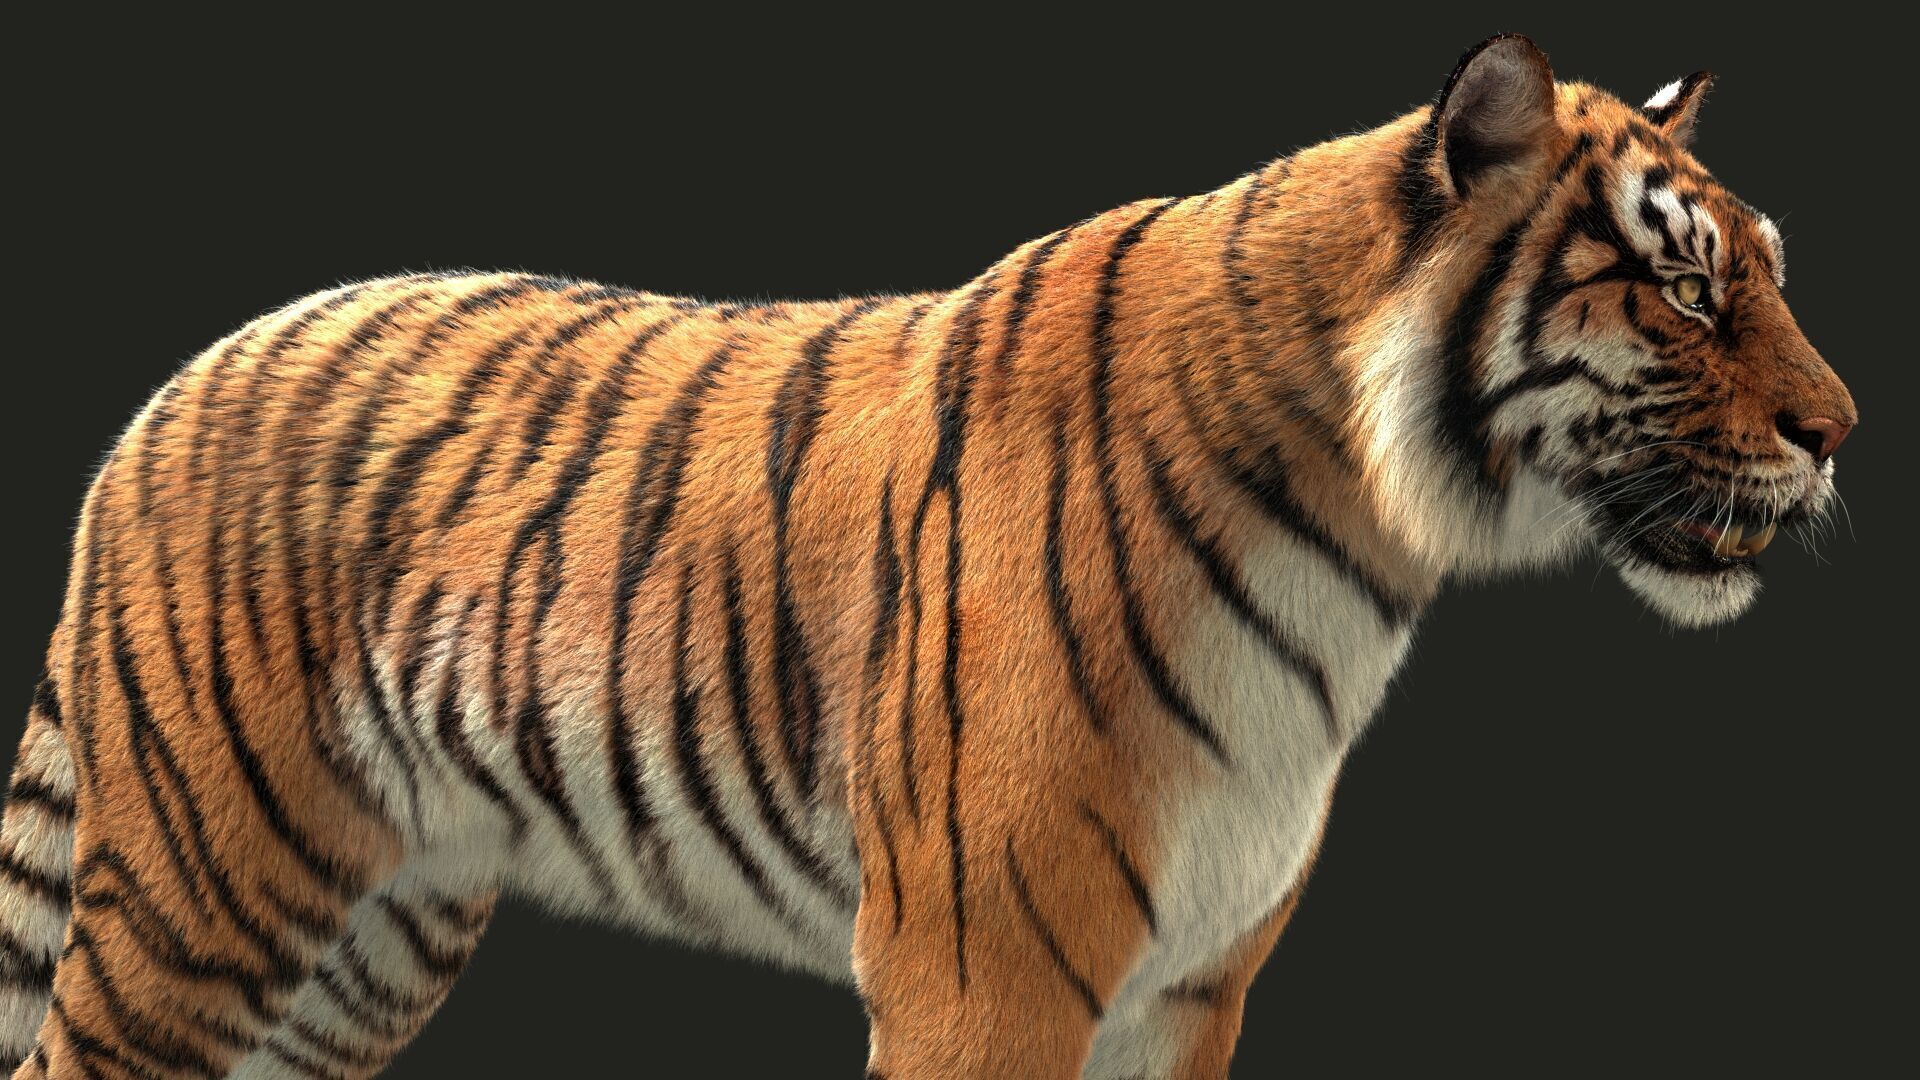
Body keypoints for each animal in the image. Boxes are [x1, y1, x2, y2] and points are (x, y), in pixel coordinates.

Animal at [0, 32, 1854, 1080]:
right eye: (1683, 287)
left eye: (1758, 267)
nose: (1844, 431)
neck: (1363, 550)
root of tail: (176, 384)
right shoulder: (983, 968)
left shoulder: (1190, 986)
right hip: (205, 897)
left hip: (371, 936)